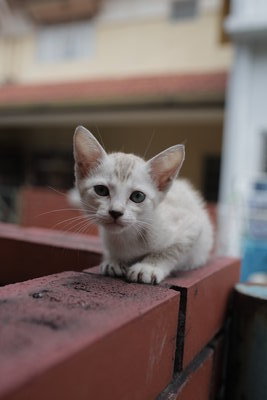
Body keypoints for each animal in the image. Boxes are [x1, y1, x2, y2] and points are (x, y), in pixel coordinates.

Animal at [73, 125, 214, 284]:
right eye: (101, 190)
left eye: (138, 196)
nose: (116, 212)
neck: (127, 236)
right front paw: (113, 260)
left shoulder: (192, 226)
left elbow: (171, 250)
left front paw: (148, 267)